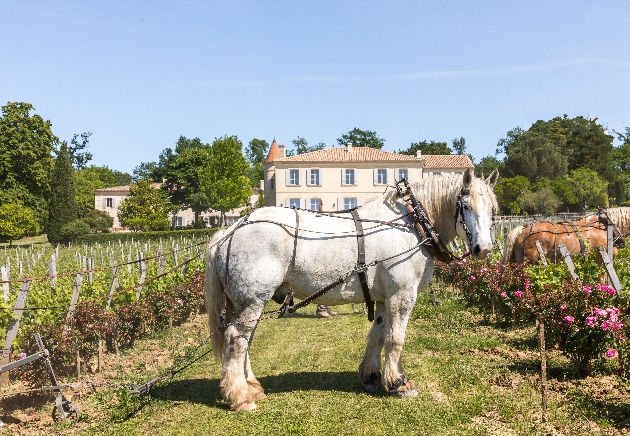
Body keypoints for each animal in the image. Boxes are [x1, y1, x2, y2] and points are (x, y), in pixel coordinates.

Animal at [206, 169, 498, 410]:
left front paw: (372, 376)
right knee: (236, 339)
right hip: (252, 300)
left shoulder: (384, 298)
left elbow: (378, 335)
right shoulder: (402, 295)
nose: (483, 248)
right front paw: (398, 382)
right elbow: (396, 338)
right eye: (465, 206)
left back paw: (252, 387)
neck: (412, 224)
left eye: (492, 209)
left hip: (248, 303)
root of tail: (231, 230)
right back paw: (240, 396)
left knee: (245, 340)